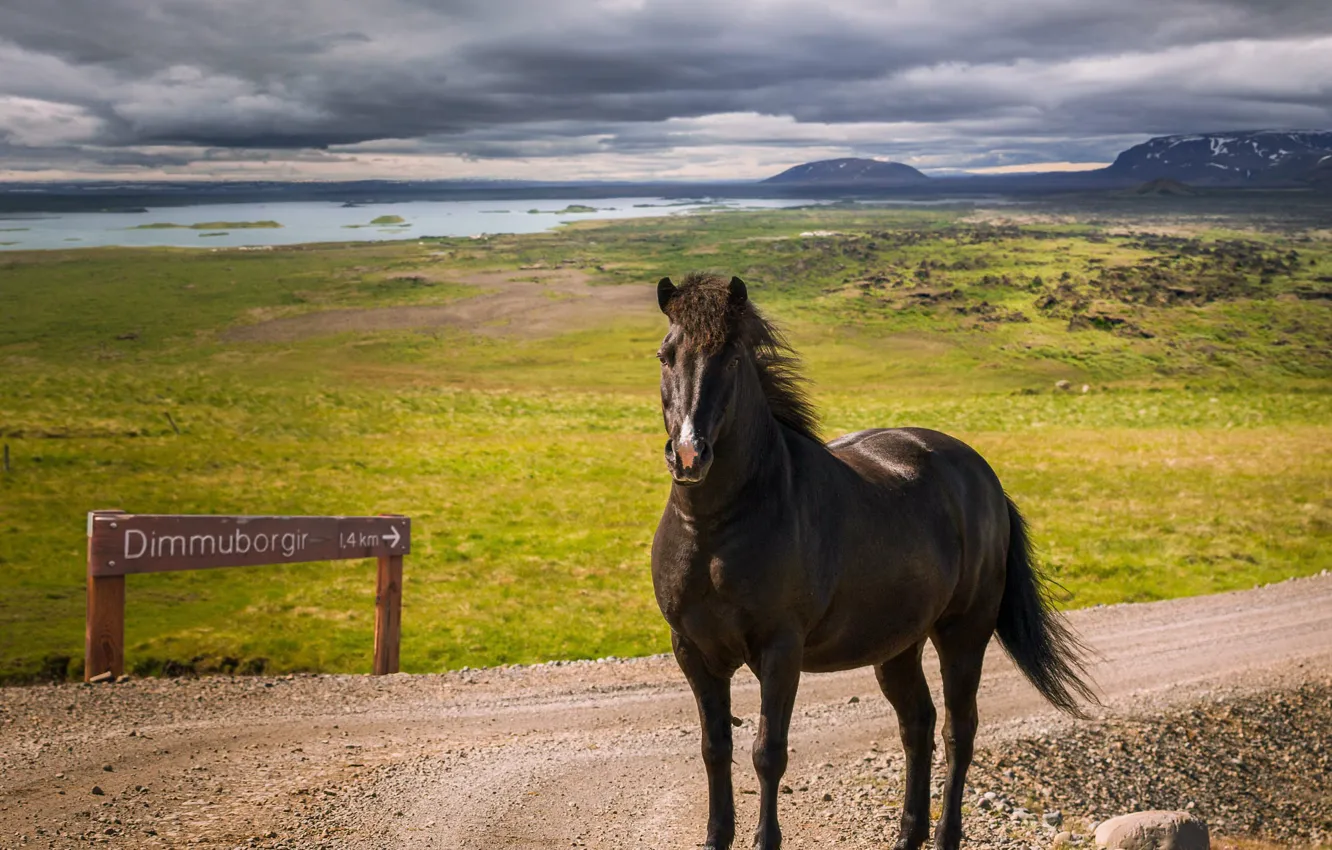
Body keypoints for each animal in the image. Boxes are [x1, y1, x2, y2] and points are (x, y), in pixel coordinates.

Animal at [650, 273, 1096, 850]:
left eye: (731, 358)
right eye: (665, 355)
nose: (688, 455)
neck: (717, 528)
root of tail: (984, 477)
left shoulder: (780, 651)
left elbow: (768, 754)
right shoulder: (693, 651)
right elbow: (714, 749)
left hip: (964, 633)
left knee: (958, 731)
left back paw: (946, 835)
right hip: (899, 645)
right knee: (918, 725)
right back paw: (908, 835)